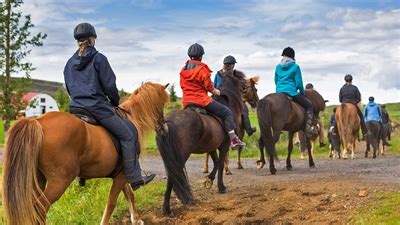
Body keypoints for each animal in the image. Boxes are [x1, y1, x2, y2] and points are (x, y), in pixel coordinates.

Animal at [2, 82, 170, 225]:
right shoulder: (122, 174)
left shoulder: (120, 174)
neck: (131, 118)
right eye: (161, 104)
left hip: (37, 179)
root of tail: (37, 122)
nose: (164, 128)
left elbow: (129, 195)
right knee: (40, 209)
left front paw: (136, 219)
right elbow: (111, 203)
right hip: (59, 181)